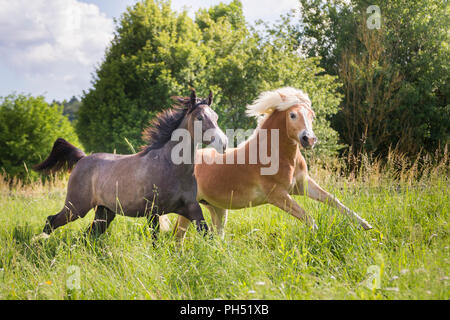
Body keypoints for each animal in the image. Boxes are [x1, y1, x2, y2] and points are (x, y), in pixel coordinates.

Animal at [34, 89, 229, 239]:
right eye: (199, 117)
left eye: (216, 116)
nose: (224, 143)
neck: (170, 167)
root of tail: (82, 158)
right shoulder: (152, 212)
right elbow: (155, 240)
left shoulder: (191, 208)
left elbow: (207, 234)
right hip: (76, 208)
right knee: (51, 221)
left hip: (105, 212)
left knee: (90, 234)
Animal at [172, 86, 372, 239]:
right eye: (292, 115)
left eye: (311, 115)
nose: (309, 139)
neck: (278, 156)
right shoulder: (278, 195)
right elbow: (309, 220)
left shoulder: (303, 185)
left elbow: (334, 201)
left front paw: (366, 225)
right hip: (190, 208)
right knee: (178, 236)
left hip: (217, 208)